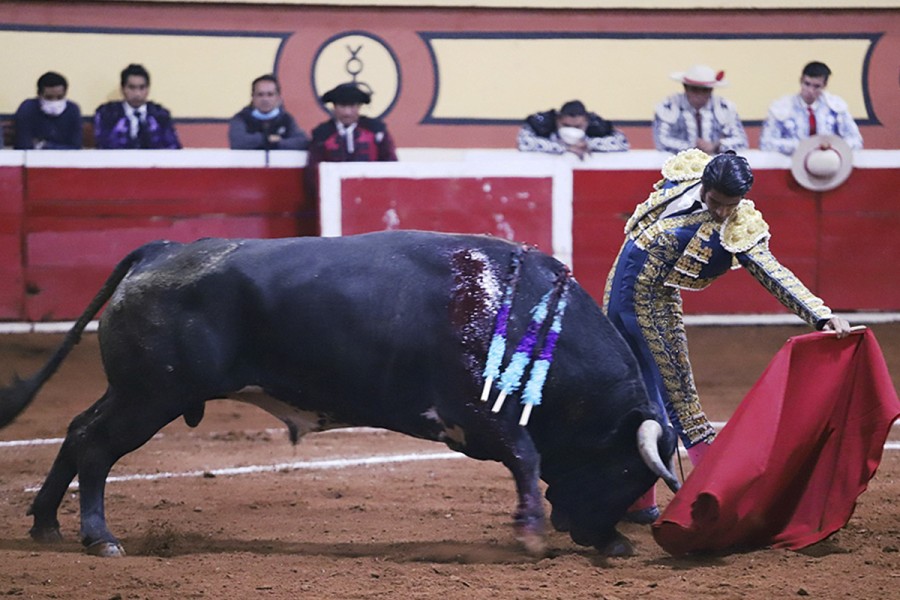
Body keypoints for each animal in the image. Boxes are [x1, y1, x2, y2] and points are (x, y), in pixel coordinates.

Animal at [0, 231, 680, 556]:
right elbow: (527, 459)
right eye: (628, 467)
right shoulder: (483, 418)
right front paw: (532, 534)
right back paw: (99, 537)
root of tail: (162, 251)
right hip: (149, 396)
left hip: (133, 393)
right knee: (95, 445)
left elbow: (528, 461)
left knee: (76, 431)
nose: (613, 541)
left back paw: (47, 526)